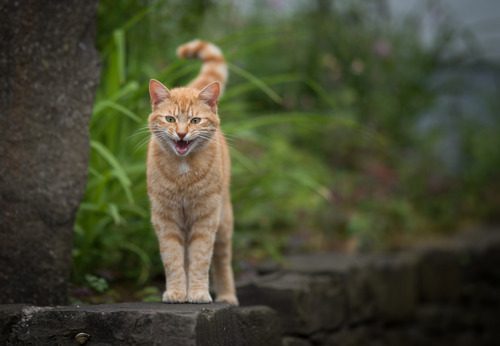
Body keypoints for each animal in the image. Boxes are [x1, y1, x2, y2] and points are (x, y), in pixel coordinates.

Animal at [146, 40, 238, 304]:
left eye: (195, 120)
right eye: (169, 118)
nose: (181, 133)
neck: (183, 171)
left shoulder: (205, 219)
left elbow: (200, 259)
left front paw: (197, 293)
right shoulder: (166, 220)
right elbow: (173, 260)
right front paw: (178, 292)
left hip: (224, 222)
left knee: (222, 260)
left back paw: (227, 296)